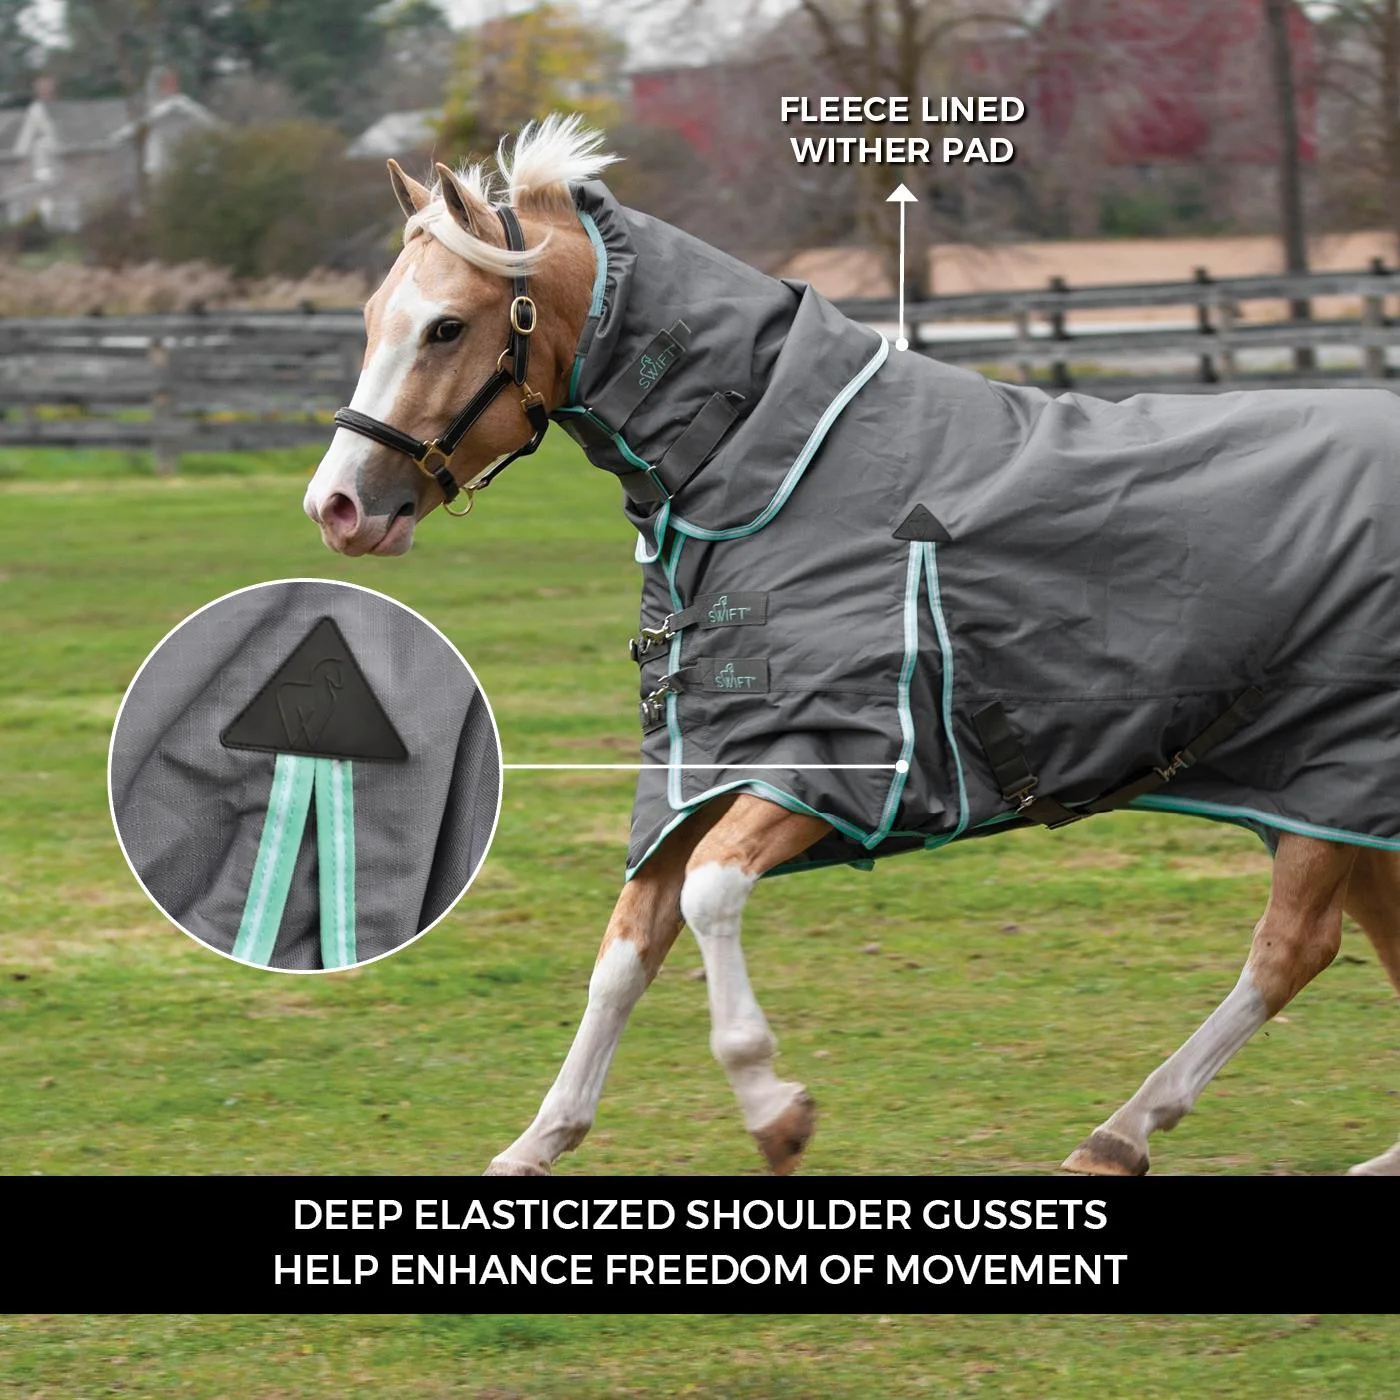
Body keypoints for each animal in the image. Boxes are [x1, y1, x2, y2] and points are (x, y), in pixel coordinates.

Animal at [304, 116, 1400, 1177]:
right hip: (1333, 801)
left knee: (1289, 949)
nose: (338, 506)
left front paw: (774, 1112)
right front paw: (537, 1142)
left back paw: (1120, 1133)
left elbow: (709, 895)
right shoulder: (696, 775)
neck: (764, 479)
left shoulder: (831, 760)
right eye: (370, 318)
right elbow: (624, 950)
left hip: (1328, 775)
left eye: (446, 326)